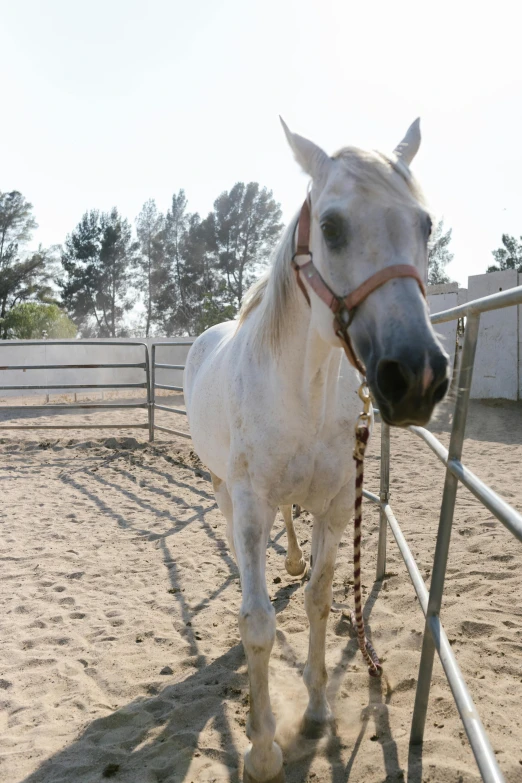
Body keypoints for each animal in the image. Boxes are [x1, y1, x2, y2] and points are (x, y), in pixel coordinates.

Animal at [185, 118, 448, 783]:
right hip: (224, 490)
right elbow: (257, 624)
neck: (300, 386)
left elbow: (321, 602)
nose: (417, 375)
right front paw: (261, 750)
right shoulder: (251, 502)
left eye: (426, 225)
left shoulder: (333, 506)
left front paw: (317, 711)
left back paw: (295, 560)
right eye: (330, 226)